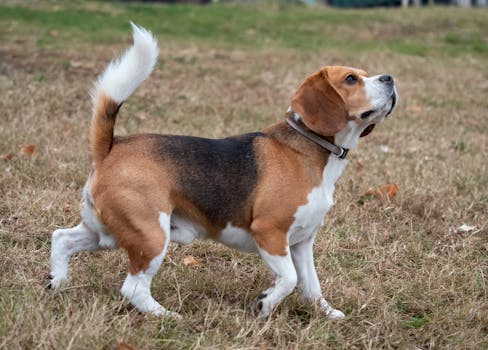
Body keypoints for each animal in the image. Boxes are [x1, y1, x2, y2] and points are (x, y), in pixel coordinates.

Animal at [48, 23, 396, 320]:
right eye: (350, 79)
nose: (390, 78)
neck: (310, 148)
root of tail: (111, 146)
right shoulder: (269, 232)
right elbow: (289, 279)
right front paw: (265, 303)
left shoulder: (301, 242)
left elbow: (311, 285)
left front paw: (326, 313)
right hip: (150, 234)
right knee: (132, 287)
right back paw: (167, 316)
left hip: (106, 233)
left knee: (62, 238)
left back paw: (57, 282)